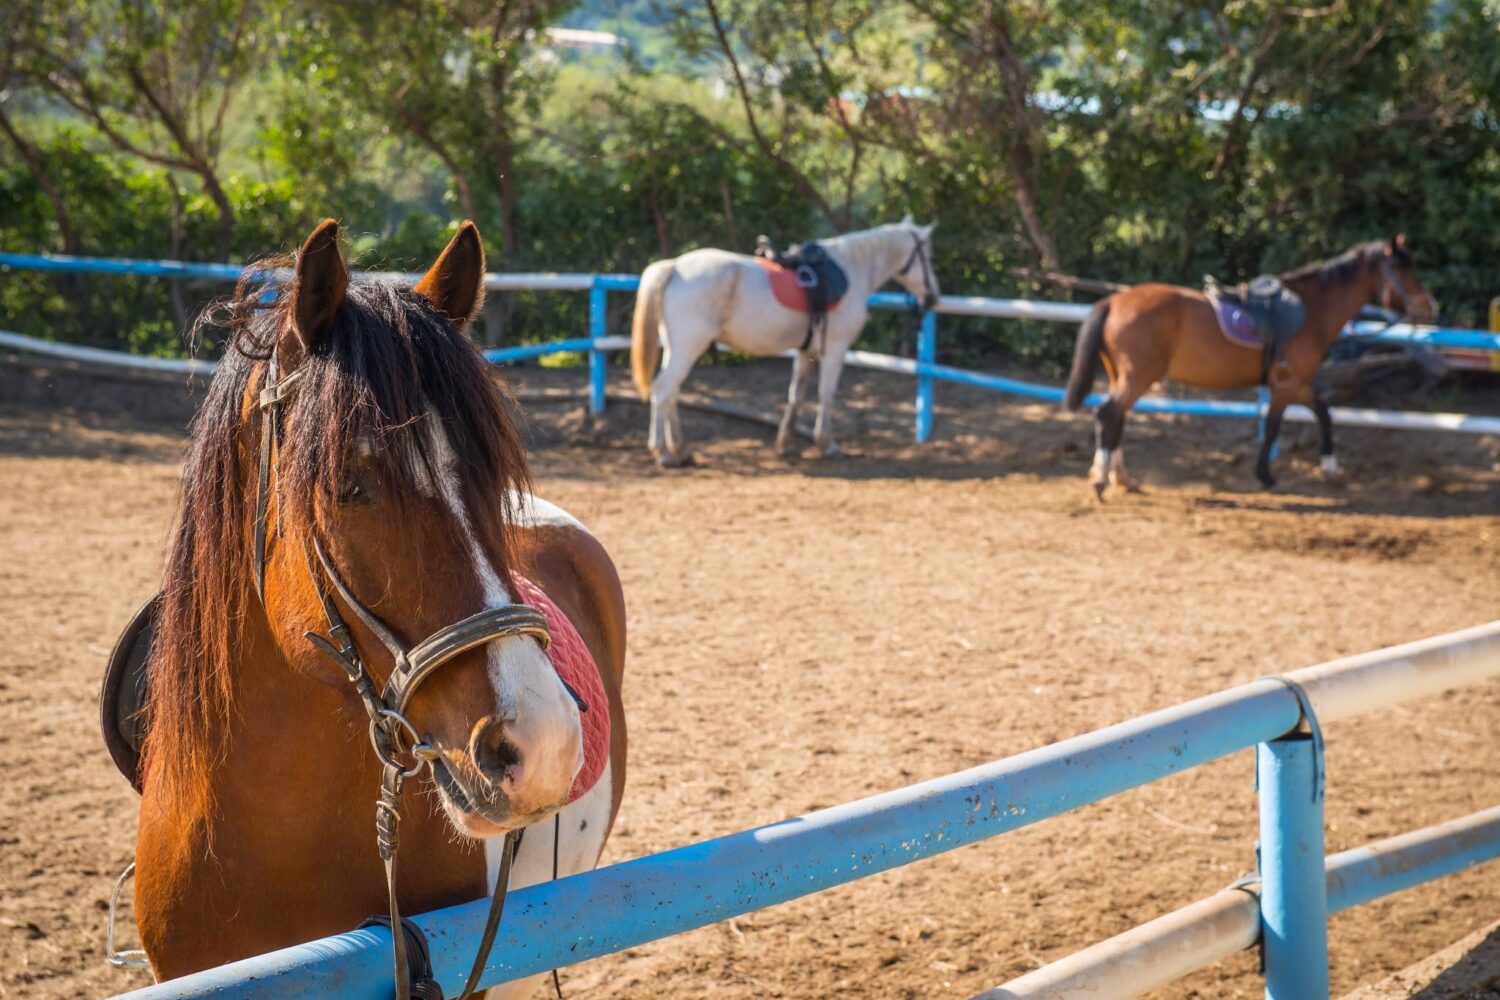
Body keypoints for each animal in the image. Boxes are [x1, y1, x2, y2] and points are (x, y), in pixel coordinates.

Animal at [629, 217, 940, 465]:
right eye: (927, 255)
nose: (933, 296)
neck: (852, 269)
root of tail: (674, 266)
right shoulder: (835, 349)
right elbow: (826, 394)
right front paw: (827, 443)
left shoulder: (805, 351)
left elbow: (796, 396)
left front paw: (785, 443)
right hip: (687, 348)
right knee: (663, 390)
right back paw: (663, 452)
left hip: (676, 348)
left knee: (671, 393)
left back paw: (680, 449)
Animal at [1063, 235, 1438, 497]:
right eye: (1403, 270)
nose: (1430, 307)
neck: (1312, 310)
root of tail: (1114, 301)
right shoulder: (1286, 385)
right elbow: (1274, 426)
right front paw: (1266, 475)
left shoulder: (1297, 383)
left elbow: (1323, 412)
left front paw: (1329, 466)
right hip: (1138, 375)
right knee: (1108, 414)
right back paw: (1100, 479)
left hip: (1121, 375)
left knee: (1117, 419)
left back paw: (1122, 479)